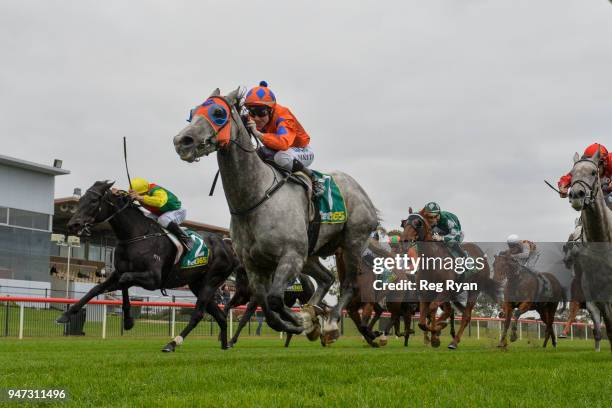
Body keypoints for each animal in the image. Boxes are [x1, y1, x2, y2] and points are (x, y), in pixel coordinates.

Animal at [57, 180, 239, 352]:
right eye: (81, 199)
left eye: (94, 201)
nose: (73, 225)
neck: (136, 236)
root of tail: (227, 245)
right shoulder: (118, 271)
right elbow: (96, 289)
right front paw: (66, 315)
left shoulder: (153, 279)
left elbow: (124, 280)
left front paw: (128, 319)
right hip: (197, 284)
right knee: (220, 316)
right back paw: (224, 345)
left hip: (211, 280)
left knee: (198, 314)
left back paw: (172, 343)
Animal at [172, 89, 378, 344]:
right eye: (192, 113)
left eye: (218, 113)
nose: (182, 141)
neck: (255, 199)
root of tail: (360, 191)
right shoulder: (253, 265)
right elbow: (267, 309)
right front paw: (304, 321)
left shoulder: (290, 256)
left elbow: (275, 300)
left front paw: (302, 321)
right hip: (310, 254)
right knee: (327, 279)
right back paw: (314, 313)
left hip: (352, 243)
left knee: (348, 285)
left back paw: (330, 324)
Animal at [402, 210, 498, 348]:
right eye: (404, 223)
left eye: (417, 223)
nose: (404, 240)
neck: (432, 261)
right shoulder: (425, 293)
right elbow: (422, 322)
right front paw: (436, 334)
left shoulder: (444, 291)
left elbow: (432, 310)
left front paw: (436, 333)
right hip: (453, 294)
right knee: (454, 312)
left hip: (474, 290)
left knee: (466, 315)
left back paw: (454, 341)